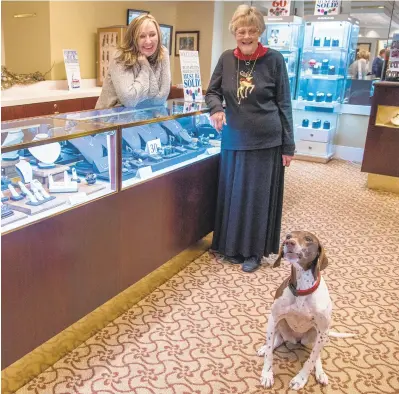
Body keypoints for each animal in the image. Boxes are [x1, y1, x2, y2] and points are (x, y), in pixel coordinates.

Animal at [258, 231, 354, 390]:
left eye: (309, 239)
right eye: (288, 236)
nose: (289, 242)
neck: (302, 289)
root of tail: (295, 340)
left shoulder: (322, 330)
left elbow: (311, 359)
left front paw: (300, 379)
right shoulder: (274, 318)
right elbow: (270, 354)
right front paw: (267, 374)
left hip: (317, 335)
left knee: (317, 355)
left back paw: (321, 373)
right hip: (281, 325)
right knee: (278, 339)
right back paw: (265, 348)